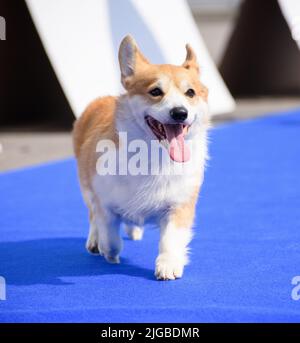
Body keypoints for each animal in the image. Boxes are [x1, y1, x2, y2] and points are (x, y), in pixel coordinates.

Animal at [72, 35, 209, 282]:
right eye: (155, 92)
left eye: (191, 93)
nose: (180, 113)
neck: (153, 154)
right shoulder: (103, 200)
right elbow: (109, 233)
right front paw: (109, 253)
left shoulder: (179, 204)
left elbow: (171, 239)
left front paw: (168, 265)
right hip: (86, 187)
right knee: (93, 217)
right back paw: (95, 241)